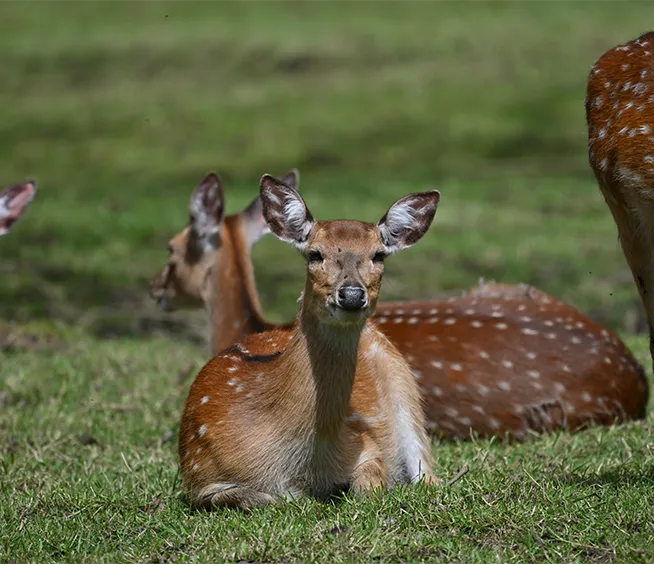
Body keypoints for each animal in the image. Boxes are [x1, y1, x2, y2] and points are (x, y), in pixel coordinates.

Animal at [179, 175, 438, 509]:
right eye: (315, 254)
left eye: (379, 255)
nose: (351, 295)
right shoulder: (199, 473)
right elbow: (257, 499)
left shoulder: (364, 443)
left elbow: (369, 487)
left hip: (406, 390)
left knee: (429, 477)